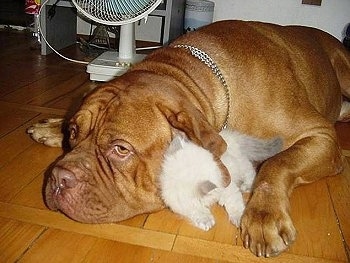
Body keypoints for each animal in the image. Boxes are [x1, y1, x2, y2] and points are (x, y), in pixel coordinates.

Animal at [27, 20, 350, 258]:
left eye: (120, 149)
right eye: (73, 132)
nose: (57, 178)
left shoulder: (321, 135)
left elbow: (278, 164)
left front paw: (263, 215)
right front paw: (53, 127)